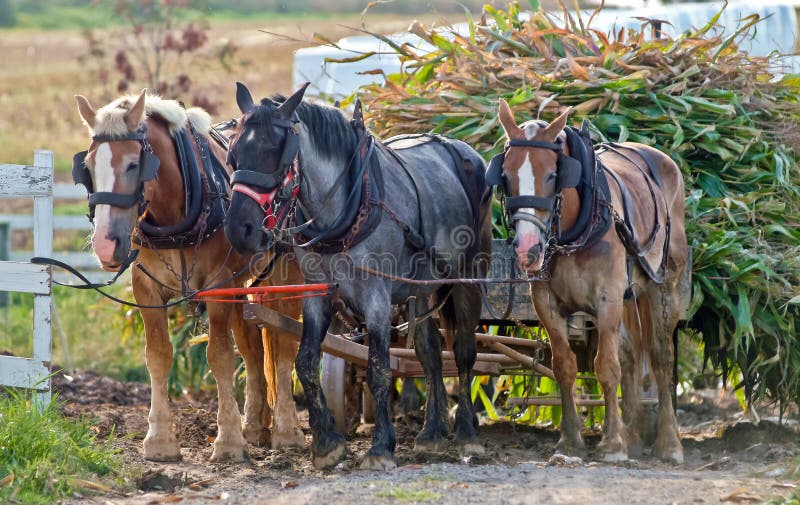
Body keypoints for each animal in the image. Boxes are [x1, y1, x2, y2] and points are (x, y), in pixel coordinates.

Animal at [73, 89, 305, 461]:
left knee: (284, 344)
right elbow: (158, 355)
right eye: (89, 167)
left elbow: (220, 356)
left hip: (285, 276)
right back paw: (255, 426)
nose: (106, 245)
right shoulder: (147, 289)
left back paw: (286, 430)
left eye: (134, 164)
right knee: (252, 347)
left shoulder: (217, 286)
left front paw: (227, 441)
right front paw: (159, 439)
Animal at [223, 82, 492, 470]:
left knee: (464, 351)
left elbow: (378, 367)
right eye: (232, 154)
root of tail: (465, 149)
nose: (238, 229)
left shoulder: (376, 297)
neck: (347, 209)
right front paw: (327, 444)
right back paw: (431, 432)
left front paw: (380, 448)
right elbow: (306, 363)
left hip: (467, 277)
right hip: (423, 287)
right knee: (429, 350)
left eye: (275, 153)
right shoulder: (317, 293)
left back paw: (468, 433)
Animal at [488, 99, 687, 463]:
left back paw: (668, 443)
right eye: (505, 176)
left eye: (553, 175)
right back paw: (633, 433)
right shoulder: (548, 307)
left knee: (660, 357)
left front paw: (613, 444)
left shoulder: (607, 301)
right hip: (629, 296)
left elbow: (605, 367)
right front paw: (571, 440)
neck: (574, 229)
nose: (527, 248)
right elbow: (565, 366)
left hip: (664, 285)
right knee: (630, 355)